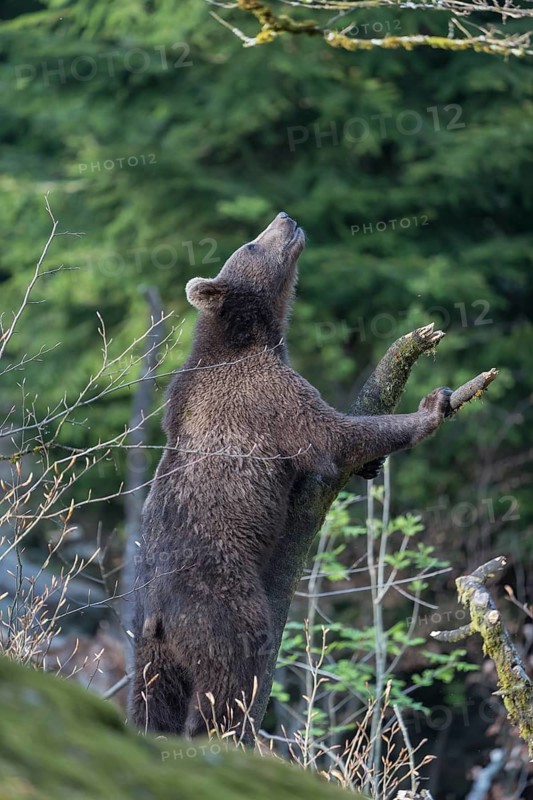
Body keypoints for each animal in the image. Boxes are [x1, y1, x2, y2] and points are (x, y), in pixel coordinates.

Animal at [129, 212, 452, 738]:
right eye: (251, 244)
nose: (286, 218)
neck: (254, 338)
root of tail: (157, 615)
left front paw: (372, 465)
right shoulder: (265, 395)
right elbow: (329, 434)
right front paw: (430, 406)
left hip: (149, 651)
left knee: (152, 704)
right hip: (218, 597)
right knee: (232, 669)